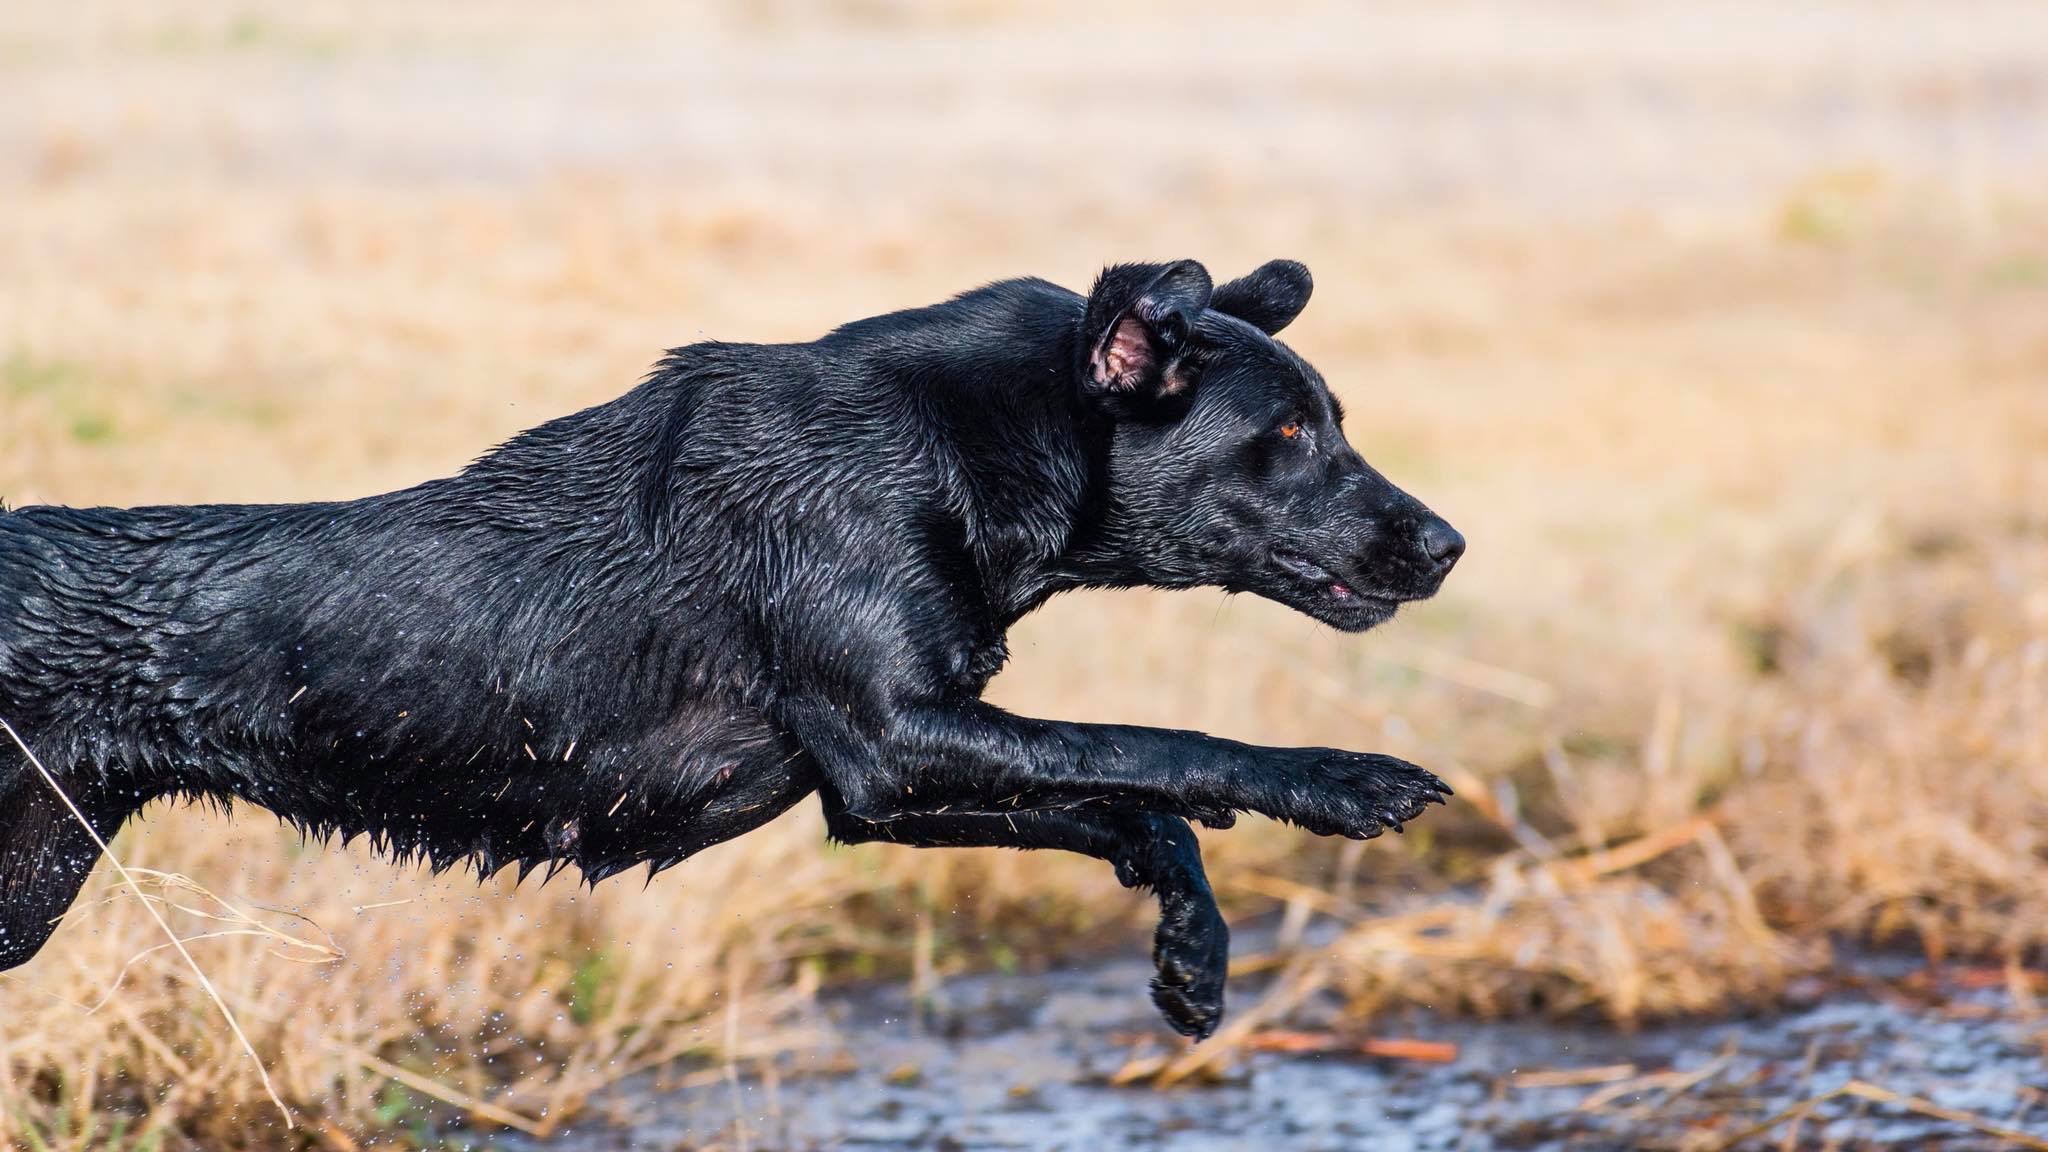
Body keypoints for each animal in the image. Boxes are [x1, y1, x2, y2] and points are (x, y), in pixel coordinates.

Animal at [8, 258, 1466, 1033]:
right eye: (1287, 434)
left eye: (1331, 417)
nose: (1448, 543)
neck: (962, 442)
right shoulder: (898, 738)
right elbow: (1171, 746)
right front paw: (1346, 781)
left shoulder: (875, 792)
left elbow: (1139, 806)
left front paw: (1193, 962)